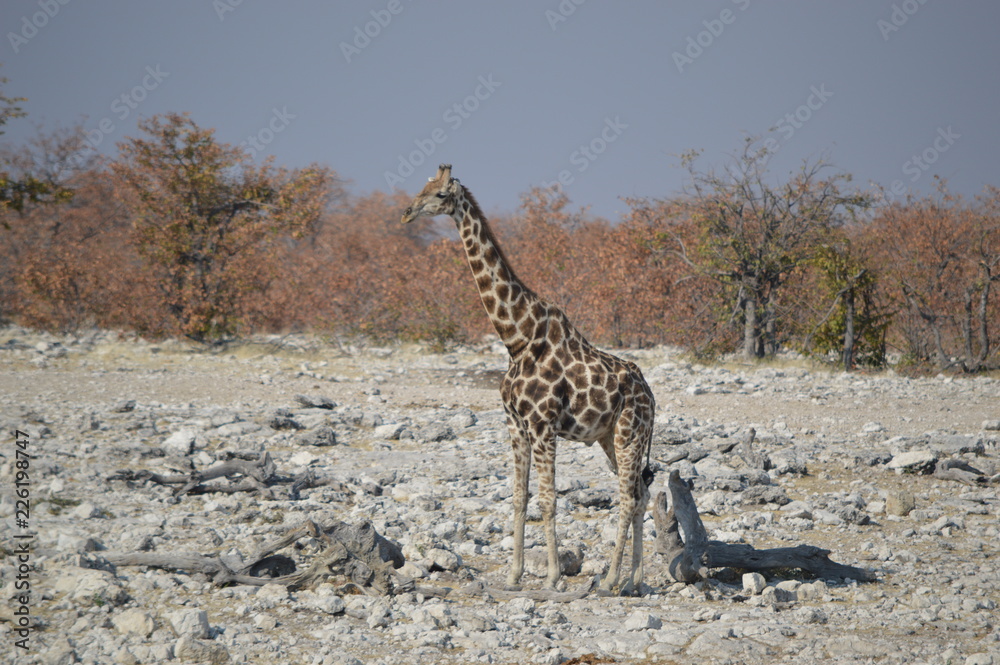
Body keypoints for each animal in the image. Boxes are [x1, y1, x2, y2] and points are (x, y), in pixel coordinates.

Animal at [402, 164, 656, 595]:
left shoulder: (542, 424)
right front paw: (513, 575)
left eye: (439, 195)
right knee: (640, 492)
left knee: (627, 497)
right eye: (422, 186)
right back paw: (634, 581)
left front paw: (552, 576)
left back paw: (610, 580)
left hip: (628, 434)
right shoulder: (515, 424)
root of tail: (653, 398)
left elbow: (548, 499)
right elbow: (519, 497)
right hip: (610, 438)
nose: (406, 212)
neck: (516, 338)